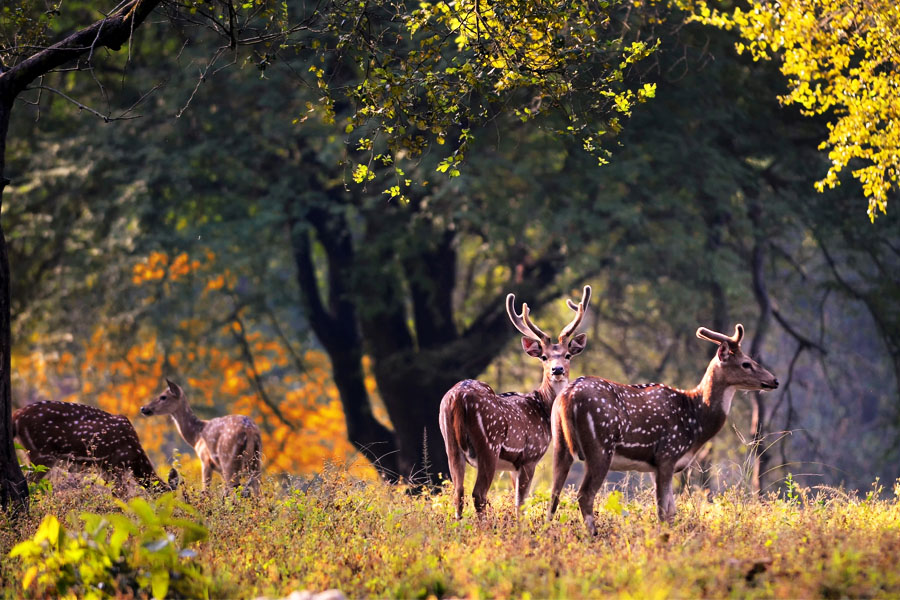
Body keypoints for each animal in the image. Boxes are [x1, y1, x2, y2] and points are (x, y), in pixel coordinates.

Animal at [13, 400, 179, 494]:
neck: (135, 458)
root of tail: (17, 415)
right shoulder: (115, 464)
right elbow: (122, 496)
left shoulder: (105, 469)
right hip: (42, 453)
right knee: (26, 482)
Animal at [442, 284, 596, 516]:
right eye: (544, 357)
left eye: (568, 355)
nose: (557, 370)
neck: (542, 408)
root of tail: (458, 397)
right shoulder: (530, 456)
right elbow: (521, 504)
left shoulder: (513, 466)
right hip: (489, 444)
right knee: (478, 494)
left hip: (450, 442)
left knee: (458, 493)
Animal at [544, 324, 776, 536]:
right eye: (746, 363)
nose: (774, 380)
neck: (695, 420)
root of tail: (567, 396)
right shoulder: (668, 454)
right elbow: (664, 510)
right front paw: (665, 539)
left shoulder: (659, 465)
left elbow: (671, 510)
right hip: (600, 446)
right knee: (584, 495)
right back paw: (594, 536)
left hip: (560, 444)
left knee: (554, 492)